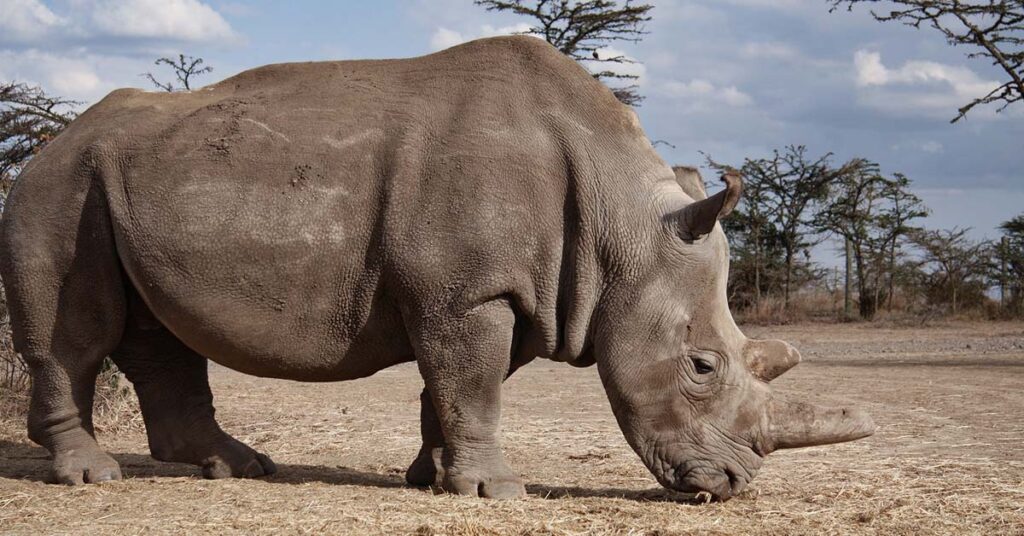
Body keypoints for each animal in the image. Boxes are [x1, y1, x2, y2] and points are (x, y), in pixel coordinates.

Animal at [0, 36, 876, 500]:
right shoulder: (470, 293)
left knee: (159, 333)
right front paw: (498, 493)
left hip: (118, 184)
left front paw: (431, 480)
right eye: (701, 366)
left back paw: (238, 469)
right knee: (73, 337)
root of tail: (48, 140)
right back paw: (93, 479)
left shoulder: (502, 292)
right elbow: (472, 384)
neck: (622, 226)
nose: (728, 485)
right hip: (58, 187)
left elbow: (452, 388)